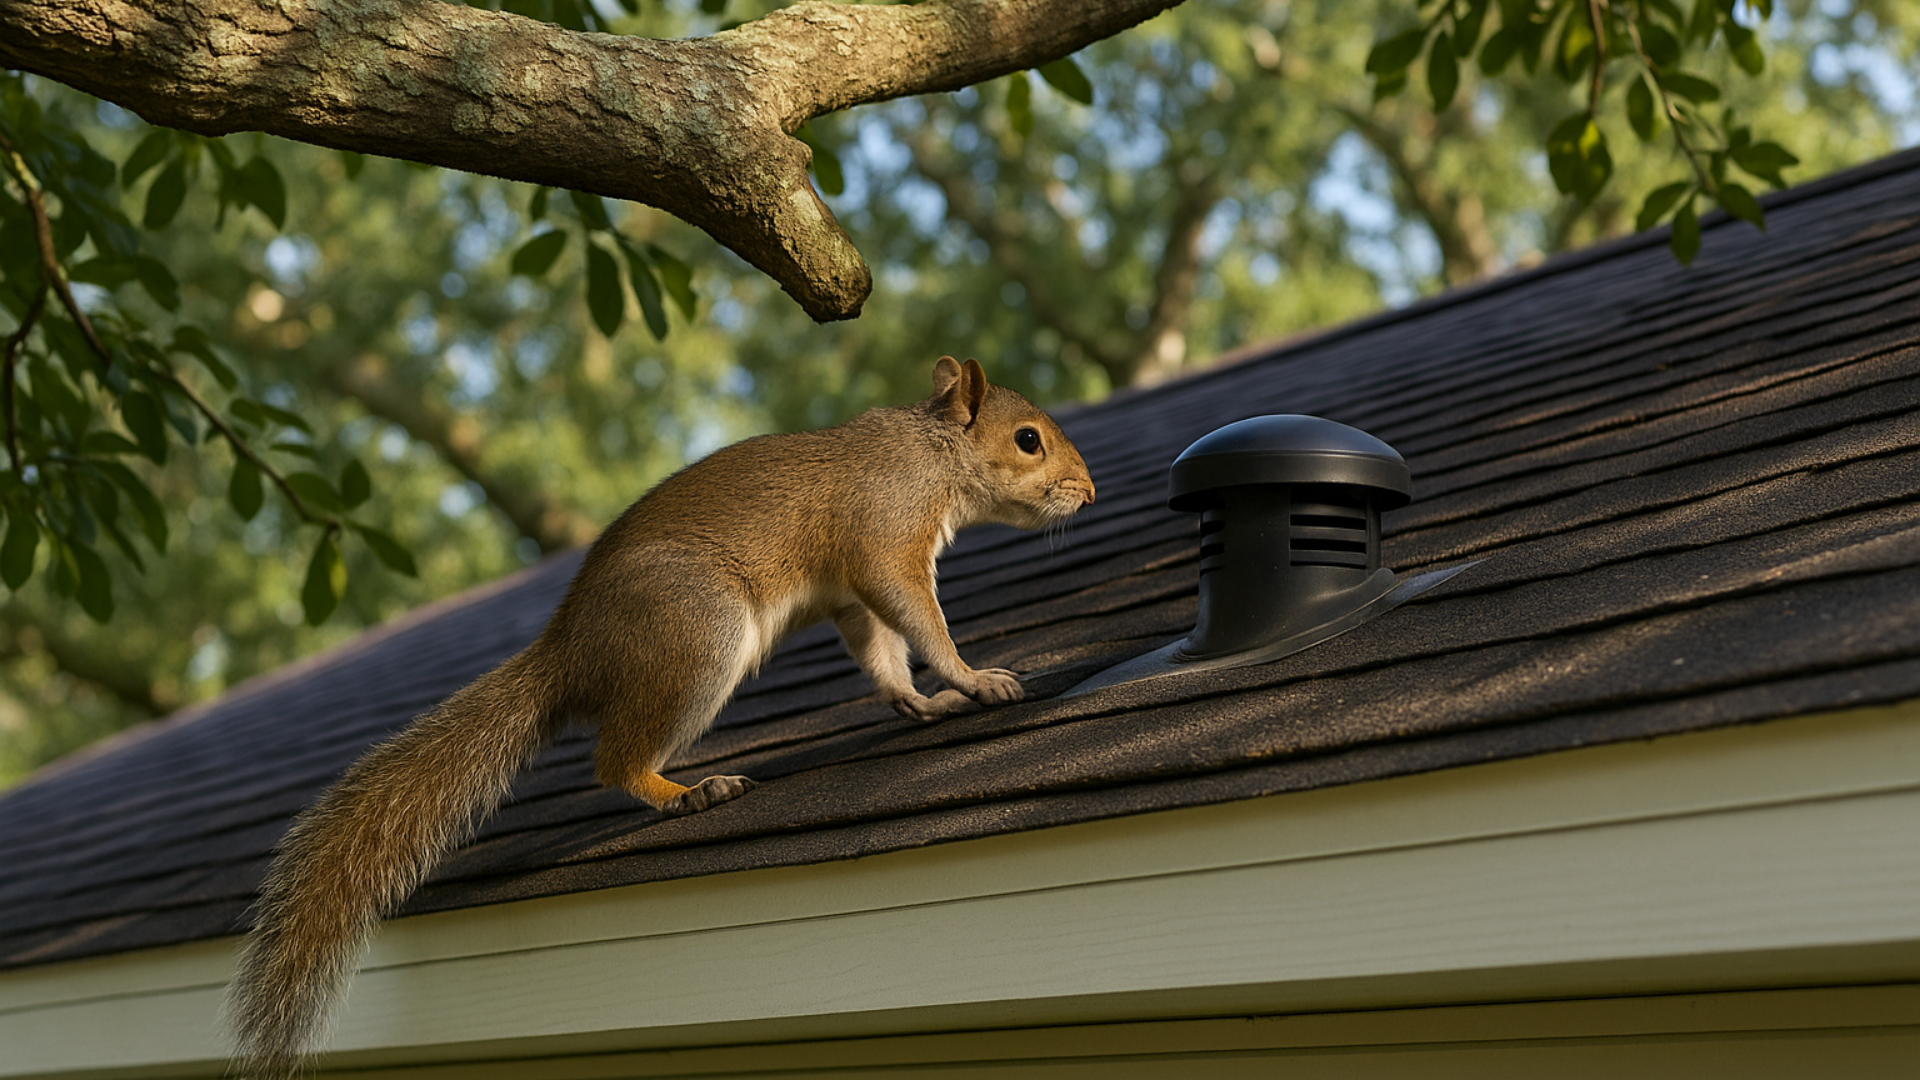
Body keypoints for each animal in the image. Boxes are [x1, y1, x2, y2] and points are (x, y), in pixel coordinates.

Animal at [225, 356, 1095, 1078]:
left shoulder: (851, 594)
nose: (1087, 493)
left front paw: (922, 701)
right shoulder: (884, 537)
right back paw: (685, 792)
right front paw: (974, 678)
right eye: (1028, 440)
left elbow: (880, 653)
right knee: (614, 760)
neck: (931, 455)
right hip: (700, 632)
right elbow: (920, 622)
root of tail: (569, 651)